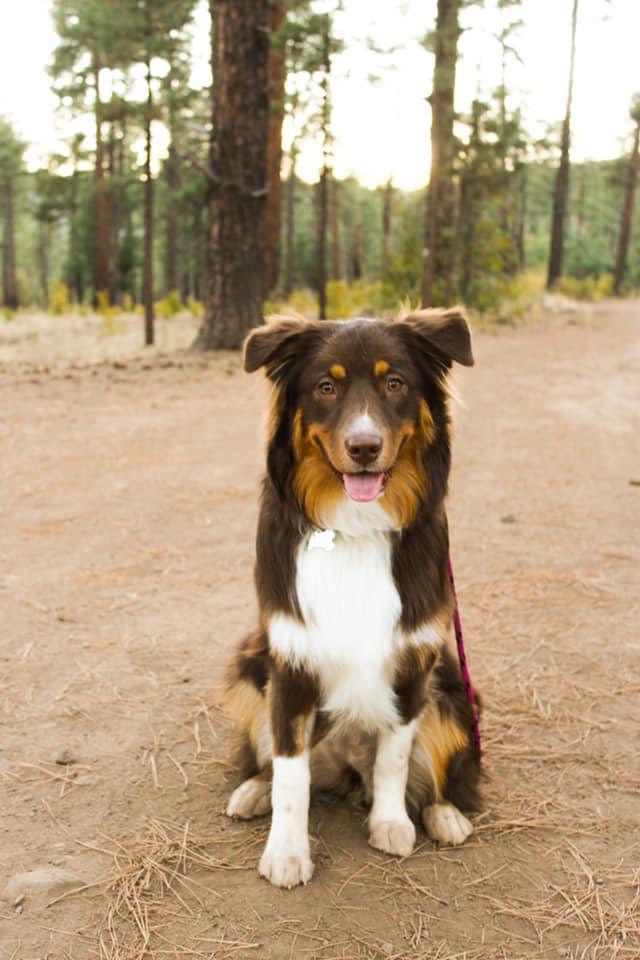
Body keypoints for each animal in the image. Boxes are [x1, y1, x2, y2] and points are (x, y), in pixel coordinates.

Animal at [224, 308, 480, 884]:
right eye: (326, 387)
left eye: (395, 383)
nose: (364, 448)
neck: (356, 527)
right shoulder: (290, 659)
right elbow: (289, 772)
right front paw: (287, 852)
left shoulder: (414, 659)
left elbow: (395, 755)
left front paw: (391, 823)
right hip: (249, 663)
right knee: (274, 760)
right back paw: (252, 790)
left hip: (454, 690)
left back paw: (445, 814)